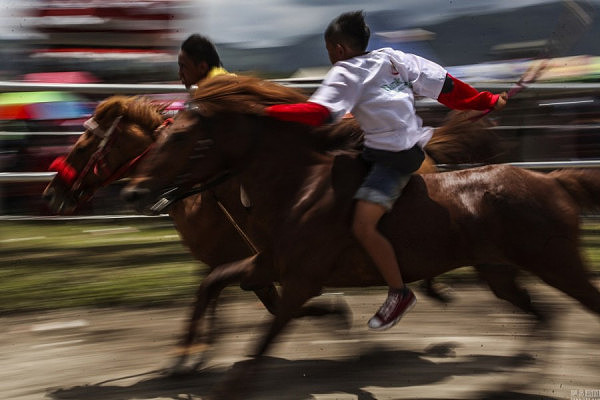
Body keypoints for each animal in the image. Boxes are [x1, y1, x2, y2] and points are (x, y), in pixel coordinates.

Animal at [122, 74, 600, 396]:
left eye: (180, 139)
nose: (132, 191)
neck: (299, 187)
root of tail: (554, 181)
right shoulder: (268, 263)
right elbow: (213, 282)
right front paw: (183, 359)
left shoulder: (300, 280)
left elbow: (264, 337)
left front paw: (229, 382)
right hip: (499, 272)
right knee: (545, 317)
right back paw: (514, 380)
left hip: (558, 264)